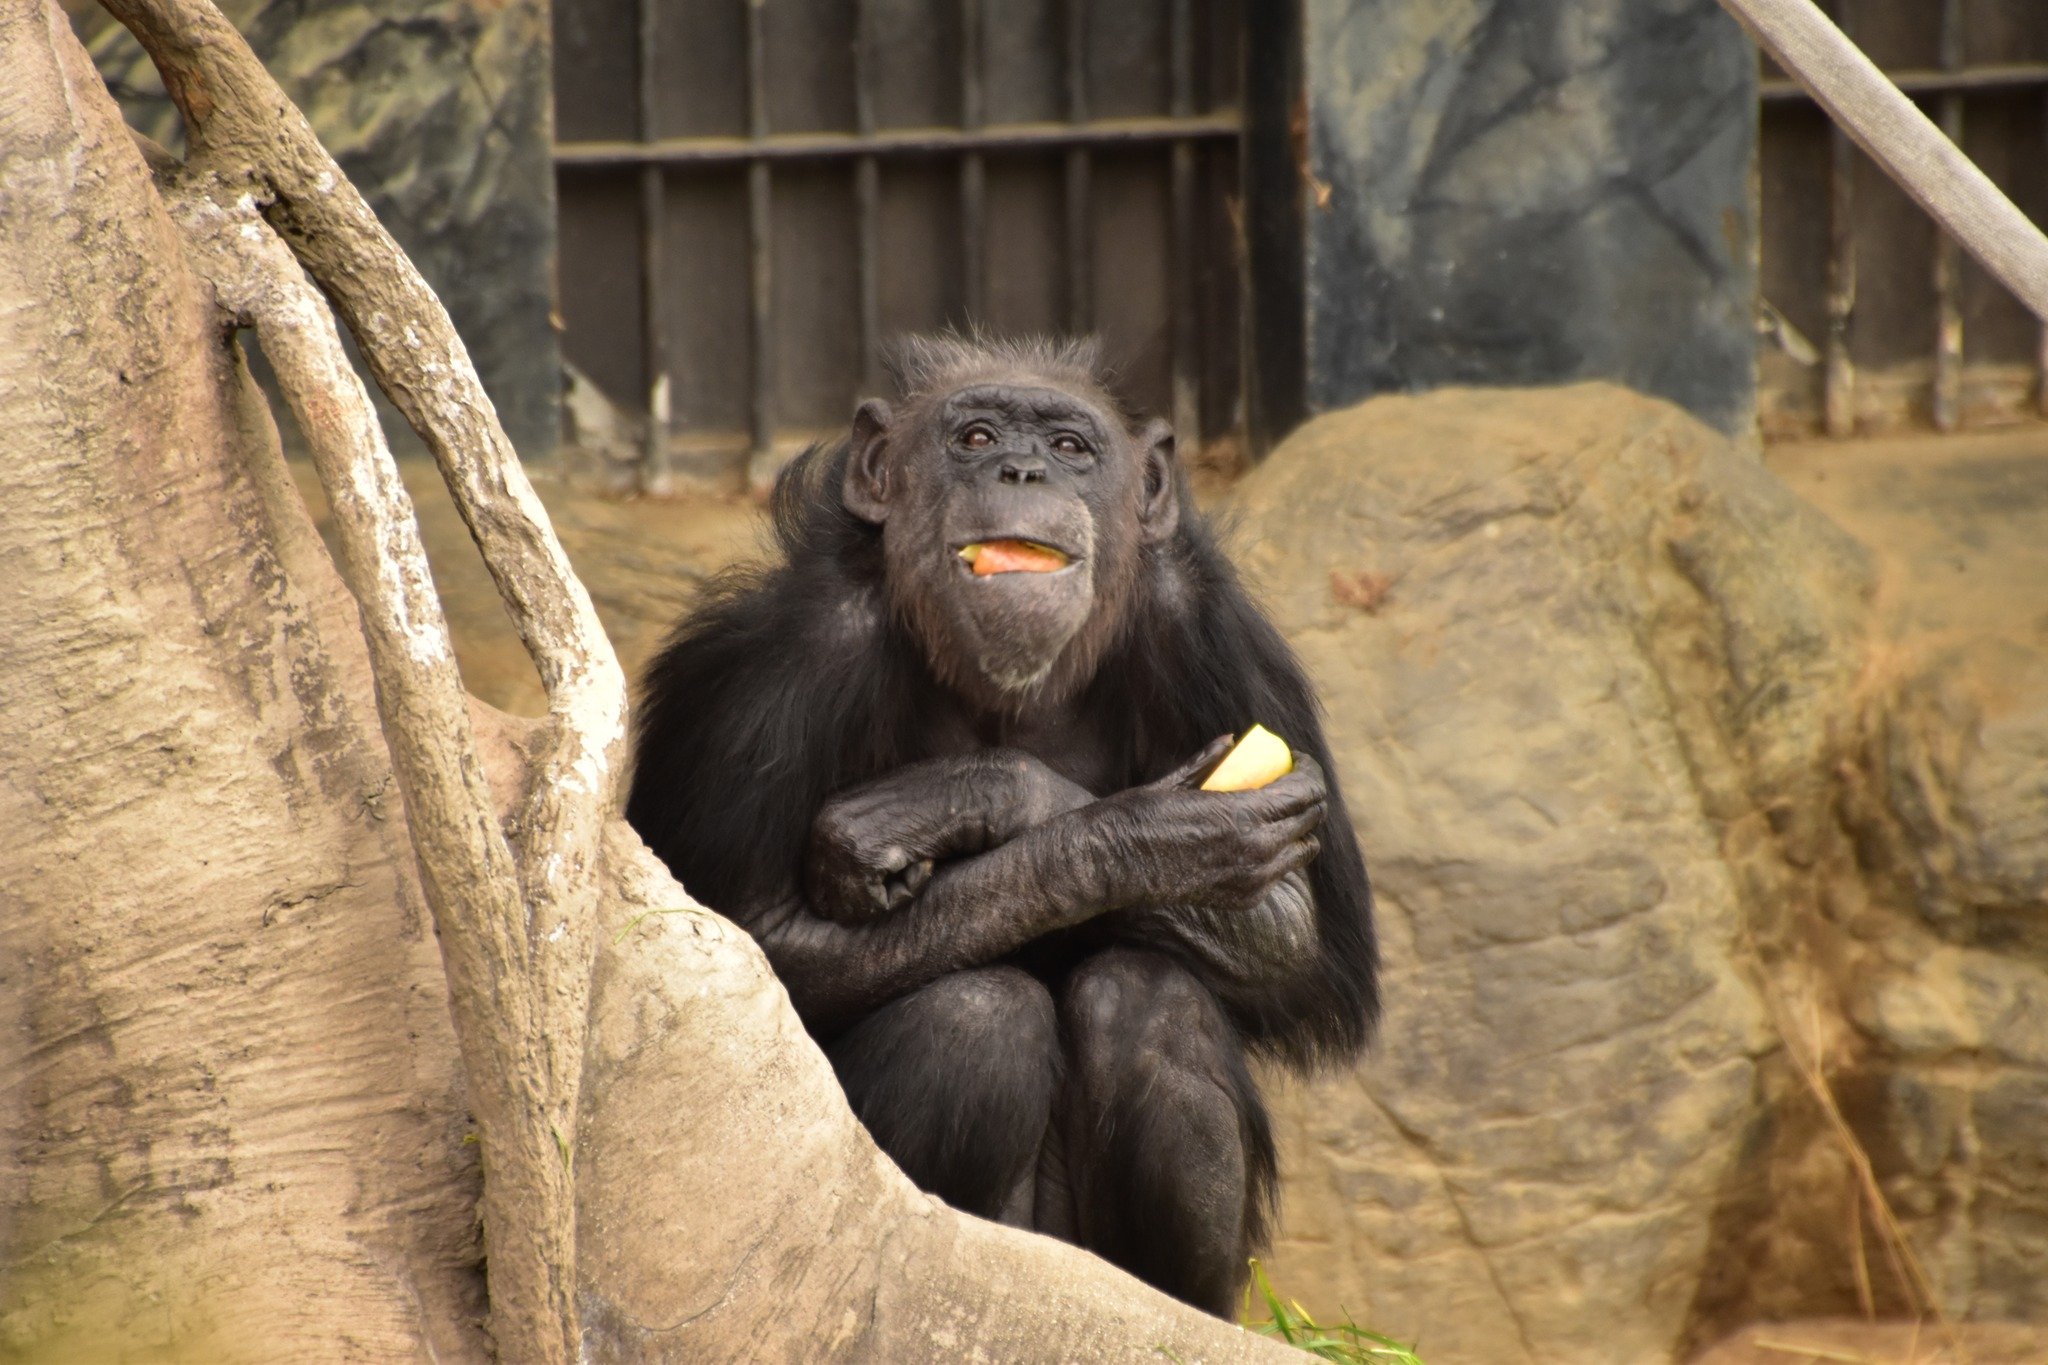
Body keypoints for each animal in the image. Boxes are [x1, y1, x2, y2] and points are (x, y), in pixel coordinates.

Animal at [634, 333, 1376, 1309]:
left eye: (1069, 446)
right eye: (976, 436)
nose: (1021, 469)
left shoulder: (1213, 631)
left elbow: (1303, 936)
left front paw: (998, 800)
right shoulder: (786, 664)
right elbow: (753, 938)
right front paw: (1145, 835)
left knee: (1152, 1002)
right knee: (972, 1018)